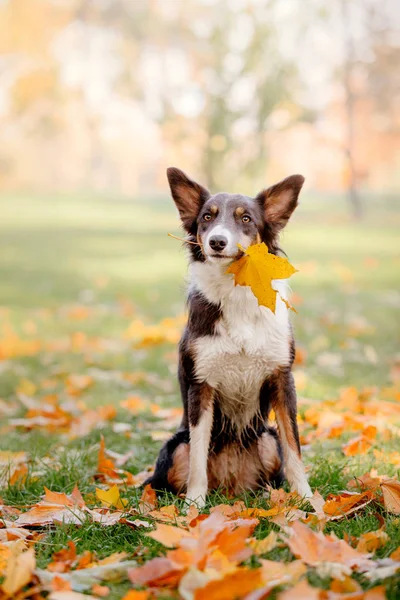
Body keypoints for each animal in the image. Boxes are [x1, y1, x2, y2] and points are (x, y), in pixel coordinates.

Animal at [147, 165, 312, 506]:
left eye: (246, 218)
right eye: (207, 217)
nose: (217, 242)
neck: (236, 289)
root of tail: (231, 488)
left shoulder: (282, 378)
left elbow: (294, 447)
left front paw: (308, 500)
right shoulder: (201, 385)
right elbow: (198, 456)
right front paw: (194, 506)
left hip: (267, 439)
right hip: (174, 447)